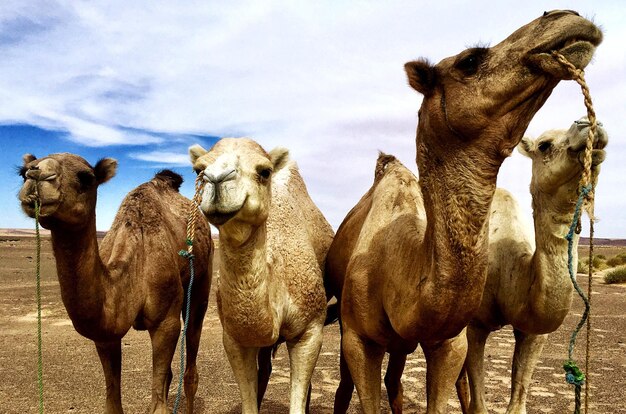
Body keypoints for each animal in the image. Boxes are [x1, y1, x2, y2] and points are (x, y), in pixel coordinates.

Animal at [18, 154, 213, 414]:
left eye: (86, 177)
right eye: (22, 172)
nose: (36, 176)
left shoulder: (166, 322)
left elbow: (159, 405)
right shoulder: (105, 335)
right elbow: (113, 401)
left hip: (201, 283)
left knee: (191, 367)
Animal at [186, 137, 332, 412]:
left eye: (264, 172)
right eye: (198, 170)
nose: (217, 179)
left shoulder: (311, 330)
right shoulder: (233, 337)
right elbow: (249, 400)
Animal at [458, 117, 604, 414]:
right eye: (544, 144)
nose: (589, 125)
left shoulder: (534, 332)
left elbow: (519, 400)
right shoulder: (475, 324)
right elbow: (479, 401)